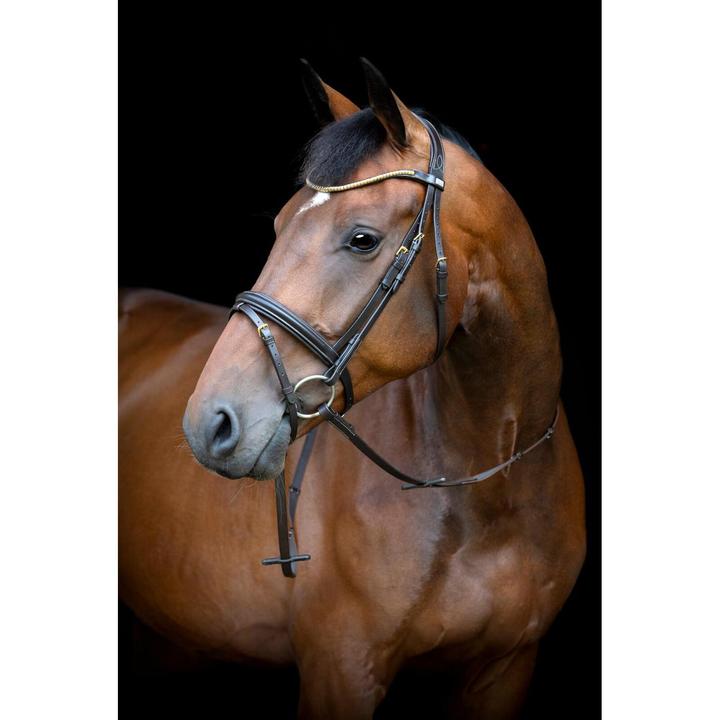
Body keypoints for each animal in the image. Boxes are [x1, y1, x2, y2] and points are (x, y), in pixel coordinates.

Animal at [119, 59, 586, 719]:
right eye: (279, 225)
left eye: (362, 238)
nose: (210, 422)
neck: (488, 491)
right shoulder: (342, 670)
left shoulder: (505, 670)